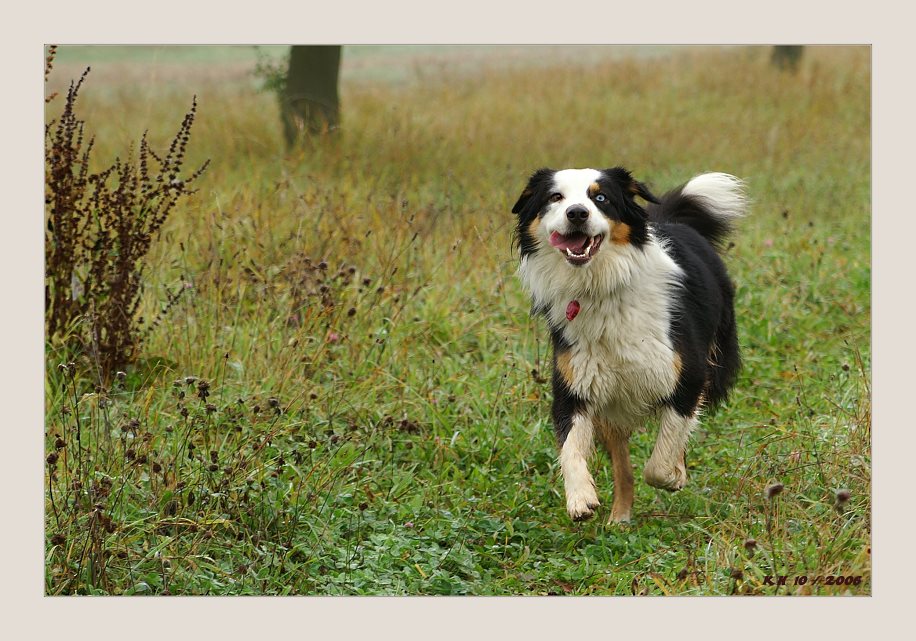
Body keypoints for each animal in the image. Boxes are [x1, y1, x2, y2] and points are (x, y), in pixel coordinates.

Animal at [512, 168, 748, 524]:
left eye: (600, 198)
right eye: (555, 197)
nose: (577, 213)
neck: (599, 287)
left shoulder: (688, 376)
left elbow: (660, 462)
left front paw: (675, 475)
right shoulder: (574, 385)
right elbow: (570, 448)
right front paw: (580, 498)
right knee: (623, 467)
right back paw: (619, 518)